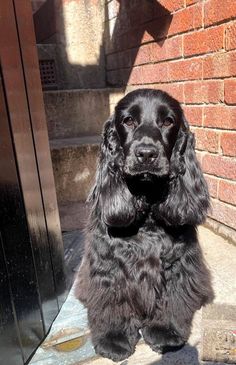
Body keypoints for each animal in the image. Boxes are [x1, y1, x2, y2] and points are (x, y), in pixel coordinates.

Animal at [76, 88, 214, 362]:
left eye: (168, 121)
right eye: (128, 121)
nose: (147, 154)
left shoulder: (177, 263)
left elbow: (172, 297)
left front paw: (165, 332)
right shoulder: (108, 265)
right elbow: (112, 300)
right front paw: (114, 339)